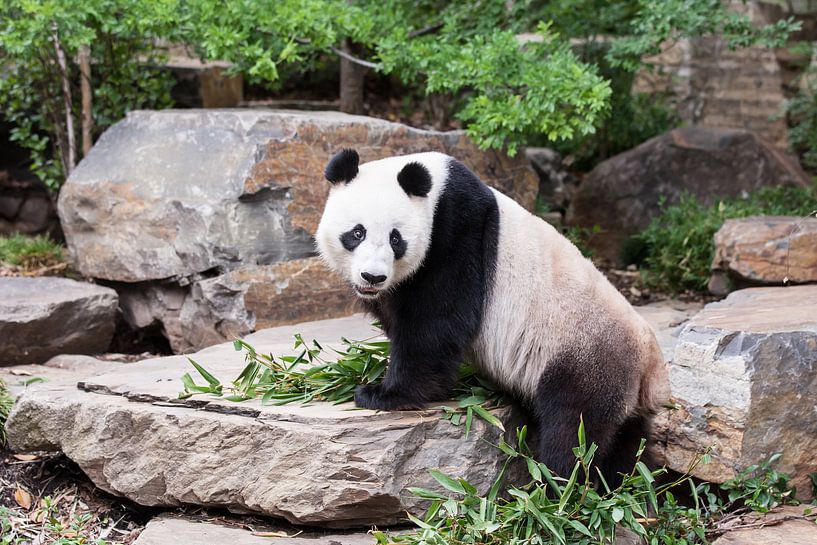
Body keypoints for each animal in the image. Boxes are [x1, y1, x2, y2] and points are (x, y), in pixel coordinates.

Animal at [315, 148, 669, 483]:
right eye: (357, 233)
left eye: (395, 238)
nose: (372, 277)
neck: (436, 187)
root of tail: (650, 367)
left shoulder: (456, 232)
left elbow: (438, 320)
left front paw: (385, 394)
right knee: (626, 443)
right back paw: (621, 484)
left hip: (586, 354)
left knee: (576, 426)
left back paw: (555, 484)